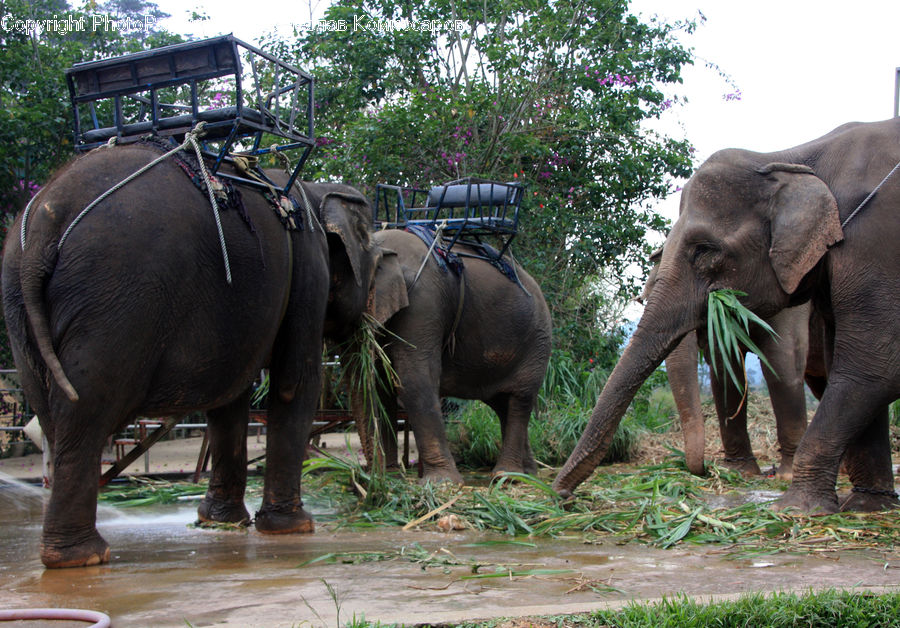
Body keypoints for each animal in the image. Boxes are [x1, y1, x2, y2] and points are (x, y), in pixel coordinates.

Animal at [1, 142, 400, 568]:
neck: (313, 189)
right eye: (374, 264)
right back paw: (82, 558)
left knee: (51, 412)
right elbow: (293, 383)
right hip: (112, 296)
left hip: (19, 307)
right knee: (85, 408)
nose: (375, 489)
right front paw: (294, 527)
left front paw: (220, 523)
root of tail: (46, 220)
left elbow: (230, 398)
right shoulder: (308, 267)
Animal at [345, 228, 552, 484]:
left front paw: (441, 483)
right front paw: (393, 477)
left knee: (520, 399)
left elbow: (414, 378)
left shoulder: (424, 301)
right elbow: (384, 384)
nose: (366, 479)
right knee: (502, 404)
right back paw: (528, 474)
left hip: (537, 341)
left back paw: (507, 476)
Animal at [553, 118, 900, 513]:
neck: (789, 157)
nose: (561, 495)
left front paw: (793, 505)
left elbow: (866, 364)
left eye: (704, 250)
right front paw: (865, 507)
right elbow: (728, 366)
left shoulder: (872, 247)